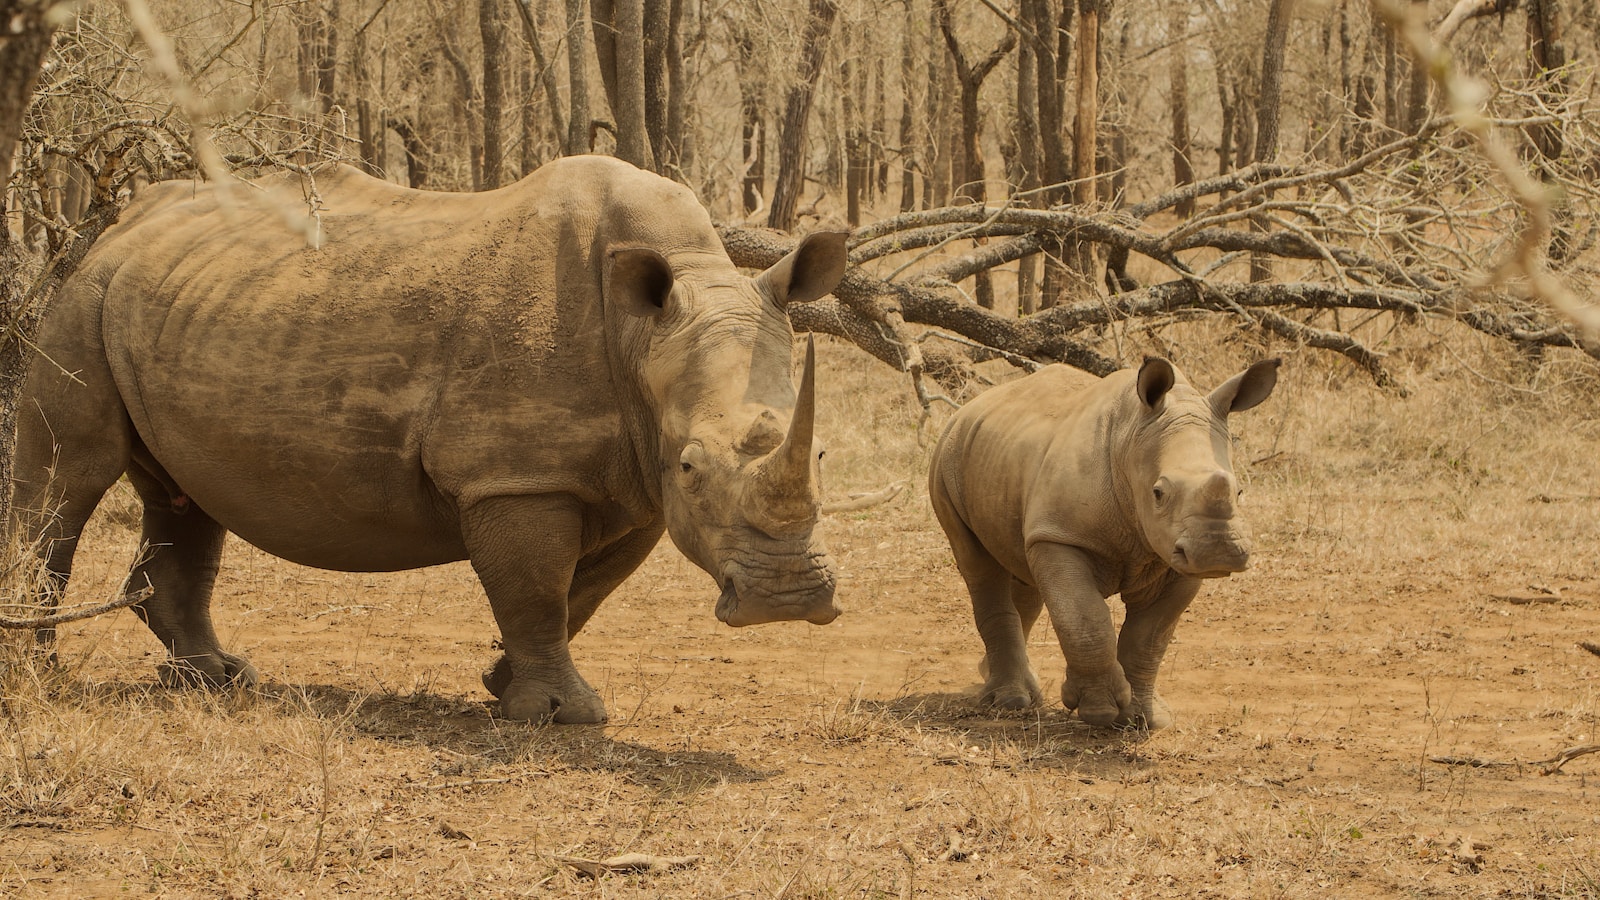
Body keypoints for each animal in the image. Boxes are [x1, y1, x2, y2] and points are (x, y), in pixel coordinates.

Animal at [11, 155, 848, 724]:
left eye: (820, 456)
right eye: (691, 465)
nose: (786, 600)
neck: (647, 333)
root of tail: (119, 223)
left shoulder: (630, 482)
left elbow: (582, 592)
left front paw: (503, 685)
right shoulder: (515, 473)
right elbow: (538, 587)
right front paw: (560, 715)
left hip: (172, 299)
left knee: (183, 495)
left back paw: (216, 678)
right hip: (82, 296)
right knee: (69, 479)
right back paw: (39, 673)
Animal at [928, 356, 1280, 729]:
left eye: (1239, 491)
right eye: (1158, 493)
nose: (1217, 551)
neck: (1131, 440)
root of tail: (968, 408)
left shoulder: (1176, 558)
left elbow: (1150, 636)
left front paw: (1144, 718)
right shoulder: (1061, 535)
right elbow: (1085, 620)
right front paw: (1100, 711)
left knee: (1022, 570)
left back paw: (1005, 682)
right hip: (948, 457)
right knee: (980, 569)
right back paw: (1009, 702)